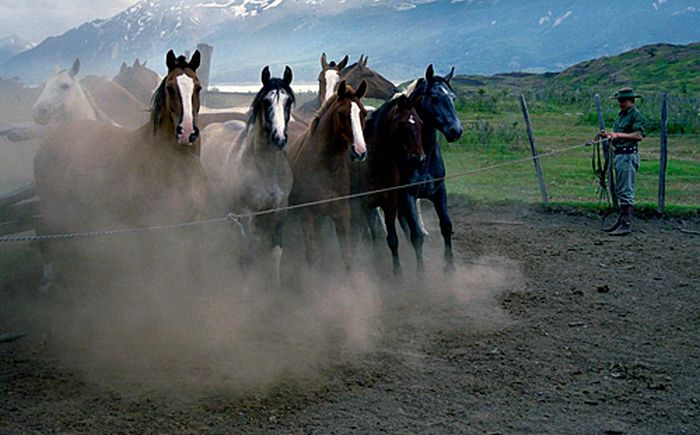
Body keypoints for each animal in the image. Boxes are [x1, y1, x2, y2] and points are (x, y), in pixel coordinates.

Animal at [33, 50, 208, 290]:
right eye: (170, 87)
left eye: (198, 87)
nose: (187, 132)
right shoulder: (155, 229)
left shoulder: (193, 224)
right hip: (52, 206)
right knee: (43, 232)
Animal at [200, 65, 296, 278]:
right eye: (266, 101)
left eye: (288, 101)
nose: (279, 138)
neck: (266, 170)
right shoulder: (247, 216)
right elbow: (248, 257)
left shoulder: (280, 213)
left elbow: (275, 254)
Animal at [288, 78, 370, 270]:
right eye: (341, 113)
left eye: (363, 113)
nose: (360, 152)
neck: (325, 168)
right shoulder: (307, 216)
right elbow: (312, 256)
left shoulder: (341, 215)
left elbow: (346, 257)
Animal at [352, 93, 424, 274]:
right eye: (403, 124)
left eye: (420, 123)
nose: (418, 158)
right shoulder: (363, 205)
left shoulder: (390, 203)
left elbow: (392, 239)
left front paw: (397, 273)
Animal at [396, 64, 462, 272]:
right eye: (433, 97)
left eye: (452, 97)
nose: (456, 131)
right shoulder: (407, 195)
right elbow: (417, 235)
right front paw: (420, 272)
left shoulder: (439, 191)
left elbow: (446, 225)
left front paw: (450, 267)